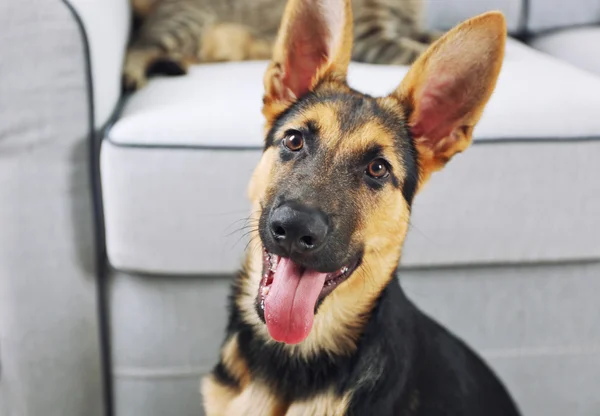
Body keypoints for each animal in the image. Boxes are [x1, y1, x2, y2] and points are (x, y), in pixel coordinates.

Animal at [123, 0, 440, 90]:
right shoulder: (370, 39)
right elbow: (412, 50)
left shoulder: (413, 28)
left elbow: (434, 37)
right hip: (184, 24)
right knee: (138, 48)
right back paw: (131, 76)